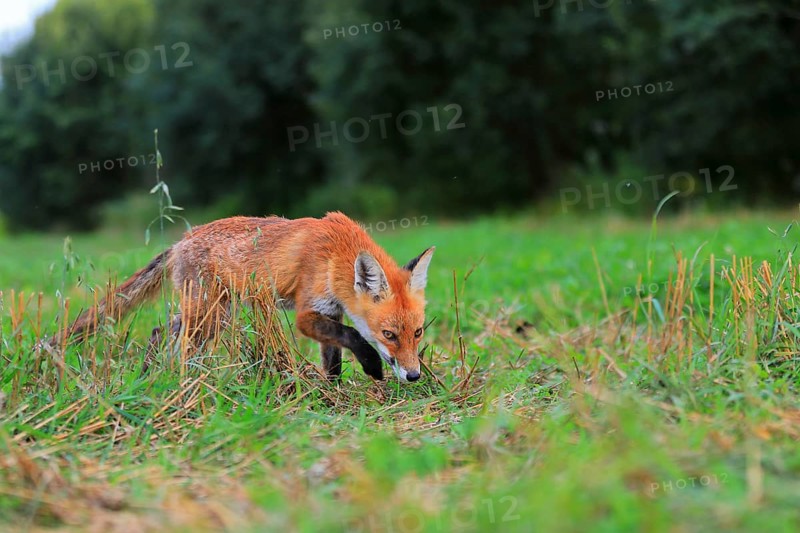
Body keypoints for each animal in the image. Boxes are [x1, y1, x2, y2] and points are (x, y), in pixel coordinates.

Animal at [60, 212, 435, 383]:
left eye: (417, 332)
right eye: (388, 335)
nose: (414, 376)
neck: (336, 254)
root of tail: (181, 241)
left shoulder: (331, 312)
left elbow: (333, 360)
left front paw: (334, 392)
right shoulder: (307, 314)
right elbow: (354, 336)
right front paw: (371, 365)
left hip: (212, 315)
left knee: (159, 332)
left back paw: (151, 375)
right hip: (207, 316)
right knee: (175, 342)